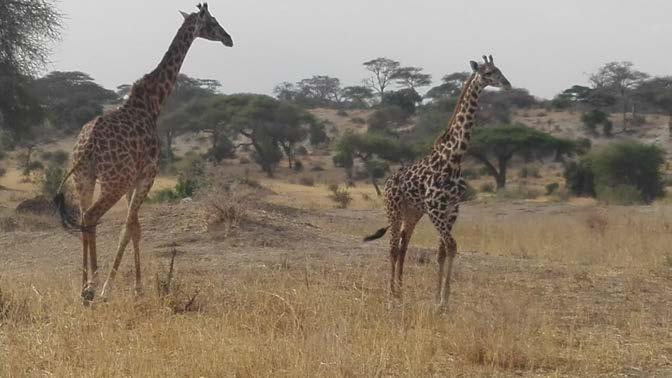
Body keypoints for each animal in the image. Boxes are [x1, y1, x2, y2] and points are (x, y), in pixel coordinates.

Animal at [51, 1, 234, 300]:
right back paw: (93, 287)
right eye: (213, 22)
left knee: (83, 218)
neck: (152, 103)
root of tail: (87, 146)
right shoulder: (147, 174)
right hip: (113, 180)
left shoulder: (133, 180)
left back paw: (83, 287)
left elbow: (136, 227)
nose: (229, 38)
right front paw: (112, 288)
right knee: (91, 217)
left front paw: (137, 287)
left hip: (84, 177)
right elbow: (129, 228)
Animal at [364, 54, 512, 308]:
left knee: (403, 246)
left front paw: (439, 299)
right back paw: (391, 296)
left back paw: (400, 291)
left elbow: (443, 251)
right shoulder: (435, 209)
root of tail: (387, 182)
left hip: (412, 213)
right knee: (392, 248)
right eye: (488, 73)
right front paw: (443, 301)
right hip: (393, 209)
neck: (454, 158)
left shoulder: (452, 209)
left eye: (499, 70)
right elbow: (451, 246)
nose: (507, 84)